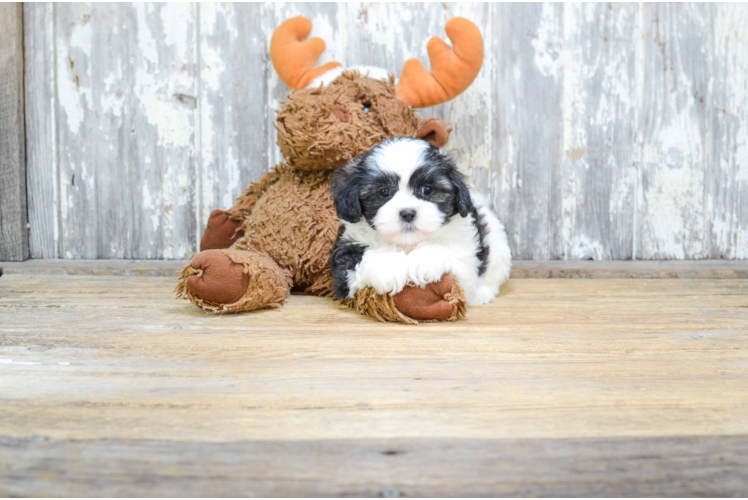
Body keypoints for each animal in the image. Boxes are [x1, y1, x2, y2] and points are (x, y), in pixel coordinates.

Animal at [330, 138, 512, 308]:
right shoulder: (346, 254)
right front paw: (389, 268)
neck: (408, 244)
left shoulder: (466, 254)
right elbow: (361, 259)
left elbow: (449, 254)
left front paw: (423, 262)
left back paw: (482, 293)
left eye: (427, 189)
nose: (407, 213)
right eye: (384, 192)